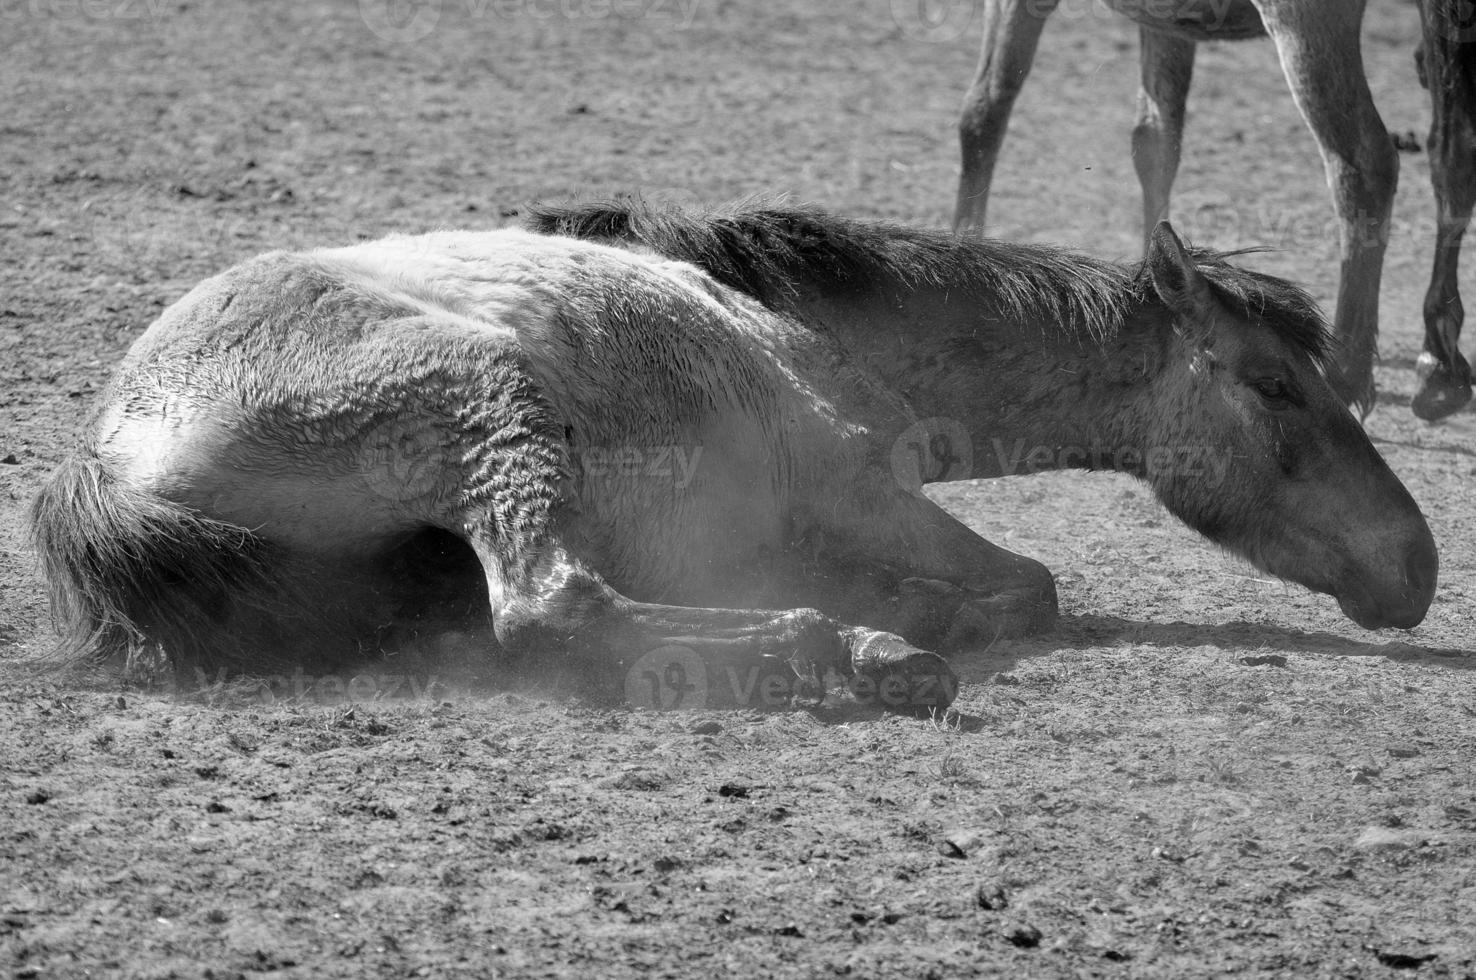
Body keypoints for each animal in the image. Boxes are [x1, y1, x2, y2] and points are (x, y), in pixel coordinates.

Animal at [31, 202, 1440, 708]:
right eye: (1276, 385)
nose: (1420, 562)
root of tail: (105, 454)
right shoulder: (858, 484)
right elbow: (1029, 582)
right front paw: (926, 611)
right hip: (490, 406)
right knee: (548, 607)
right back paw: (848, 649)